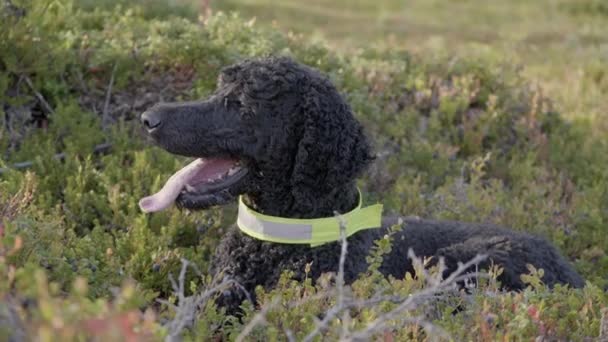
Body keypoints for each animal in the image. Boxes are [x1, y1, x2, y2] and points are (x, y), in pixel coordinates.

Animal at [139, 57, 584, 314]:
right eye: (219, 88)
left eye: (243, 103)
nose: (148, 118)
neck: (281, 240)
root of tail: (578, 277)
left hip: (467, 263)